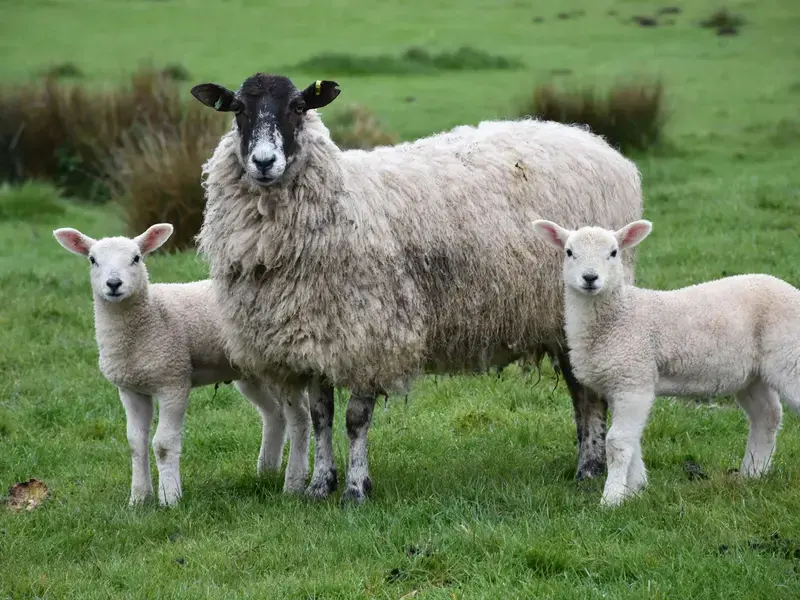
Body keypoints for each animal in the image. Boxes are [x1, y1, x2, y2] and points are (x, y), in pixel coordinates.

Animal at [52, 223, 311, 506]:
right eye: (92, 260)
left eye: (136, 258)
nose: (113, 284)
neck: (150, 317)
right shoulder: (131, 389)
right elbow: (135, 443)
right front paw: (139, 498)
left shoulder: (173, 380)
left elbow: (163, 444)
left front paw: (170, 498)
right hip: (251, 373)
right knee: (275, 414)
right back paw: (266, 471)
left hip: (281, 366)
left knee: (300, 418)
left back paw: (294, 482)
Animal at [190, 72, 644, 504]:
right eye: (237, 110)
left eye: (298, 107)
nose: (264, 162)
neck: (344, 199)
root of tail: (597, 143)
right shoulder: (317, 337)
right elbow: (321, 417)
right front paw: (320, 484)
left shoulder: (370, 334)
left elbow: (355, 420)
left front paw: (356, 489)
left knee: (586, 393)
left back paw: (589, 468)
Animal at [532, 218, 800, 506]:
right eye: (569, 252)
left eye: (614, 252)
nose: (590, 278)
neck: (619, 316)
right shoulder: (619, 384)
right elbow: (632, 440)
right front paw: (635, 489)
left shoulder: (634, 379)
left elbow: (617, 442)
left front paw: (612, 498)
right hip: (752, 375)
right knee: (767, 416)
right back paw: (752, 474)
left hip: (790, 355)